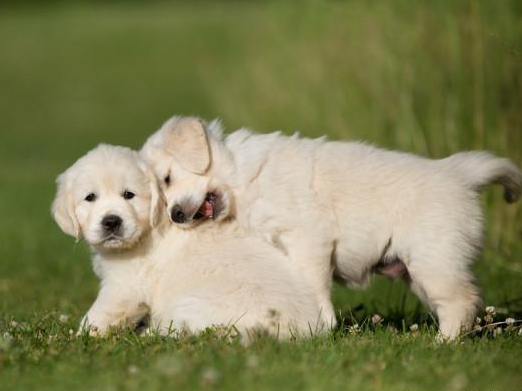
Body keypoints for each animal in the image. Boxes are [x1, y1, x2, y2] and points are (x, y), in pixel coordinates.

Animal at [50, 145, 322, 338]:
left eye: (129, 195)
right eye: (90, 197)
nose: (111, 222)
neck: (149, 228)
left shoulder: (124, 286)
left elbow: (98, 316)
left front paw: (78, 337)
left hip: (188, 303)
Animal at [139, 116, 520, 340]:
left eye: (168, 178)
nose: (175, 215)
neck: (243, 179)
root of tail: (460, 173)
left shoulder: (308, 237)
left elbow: (312, 286)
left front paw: (319, 325)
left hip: (434, 257)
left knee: (462, 301)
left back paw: (443, 343)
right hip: (423, 269)